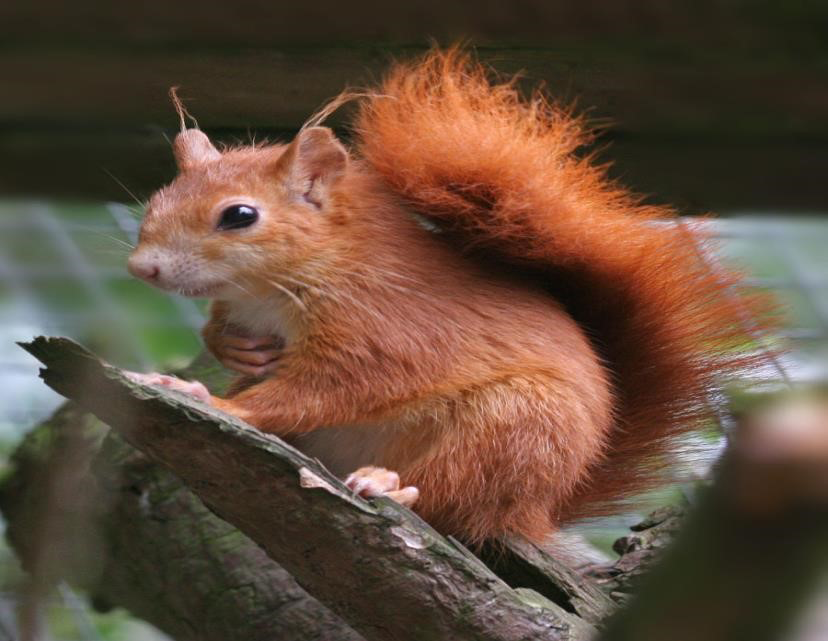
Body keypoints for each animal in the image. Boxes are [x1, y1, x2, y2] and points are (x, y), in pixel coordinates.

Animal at [126, 49, 769, 546]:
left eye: (239, 215)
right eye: (157, 199)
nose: (141, 267)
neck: (274, 289)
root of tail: (543, 509)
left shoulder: (384, 330)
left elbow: (319, 391)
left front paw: (218, 401)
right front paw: (231, 349)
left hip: (518, 429)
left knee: (453, 496)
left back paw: (391, 485)